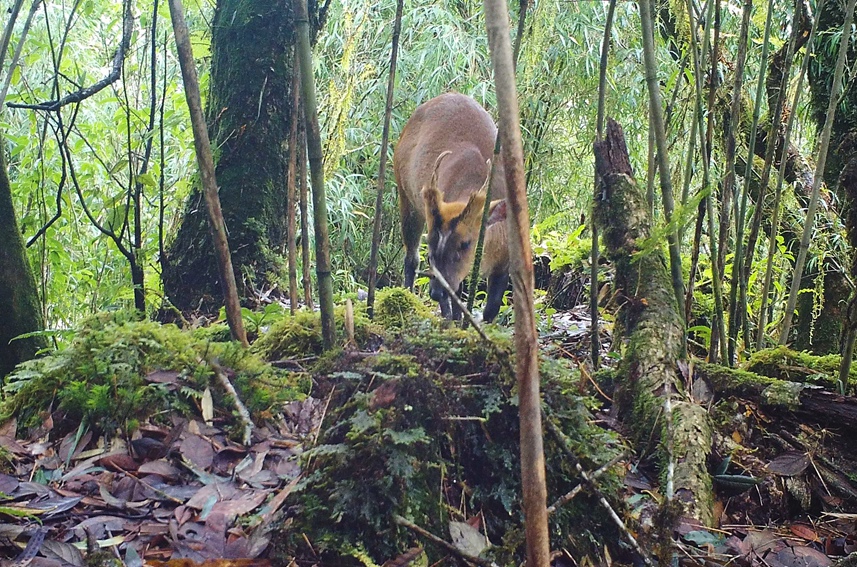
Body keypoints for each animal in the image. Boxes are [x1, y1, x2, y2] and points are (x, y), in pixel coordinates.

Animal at [394, 95, 508, 322]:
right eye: (430, 242)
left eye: (465, 243)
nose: (435, 292)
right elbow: (457, 297)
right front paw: (455, 320)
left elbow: (492, 306)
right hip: (405, 194)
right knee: (412, 258)